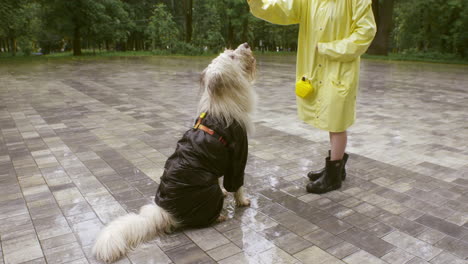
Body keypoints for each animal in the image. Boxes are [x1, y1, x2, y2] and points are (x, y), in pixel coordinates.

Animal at [92, 43, 256, 262]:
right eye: (231, 56)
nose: (246, 45)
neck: (220, 102)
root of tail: (165, 211)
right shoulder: (238, 155)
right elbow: (237, 185)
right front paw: (243, 201)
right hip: (207, 191)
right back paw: (218, 217)